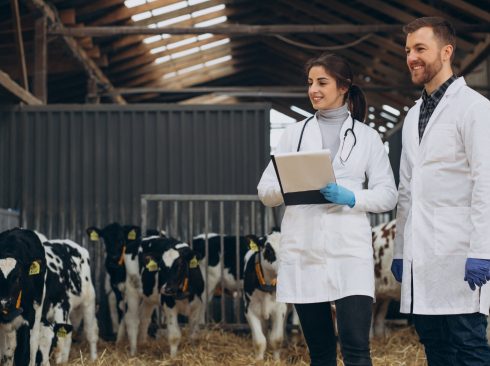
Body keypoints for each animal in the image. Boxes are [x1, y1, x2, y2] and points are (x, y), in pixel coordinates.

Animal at [242, 232, 288, 360]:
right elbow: (259, 341)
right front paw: (259, 360)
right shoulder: (250, 310)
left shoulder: (280, 309)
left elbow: (276, 339)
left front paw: (277, 360)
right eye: (268, 250)